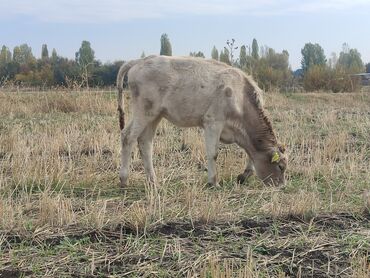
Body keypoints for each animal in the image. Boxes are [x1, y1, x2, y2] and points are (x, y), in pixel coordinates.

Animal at [117, 55, 288, 188]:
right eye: (280, 166)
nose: (281, 186)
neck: (240, 97)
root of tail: (140, 60)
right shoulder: (213, 122)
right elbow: (213, 153)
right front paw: (213, 182)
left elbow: (250, 154)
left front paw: (244, 175)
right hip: (144, 111)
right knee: (128, 137)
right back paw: (124, 180)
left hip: (154, 115)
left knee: (145, 142)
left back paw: (153, 181)